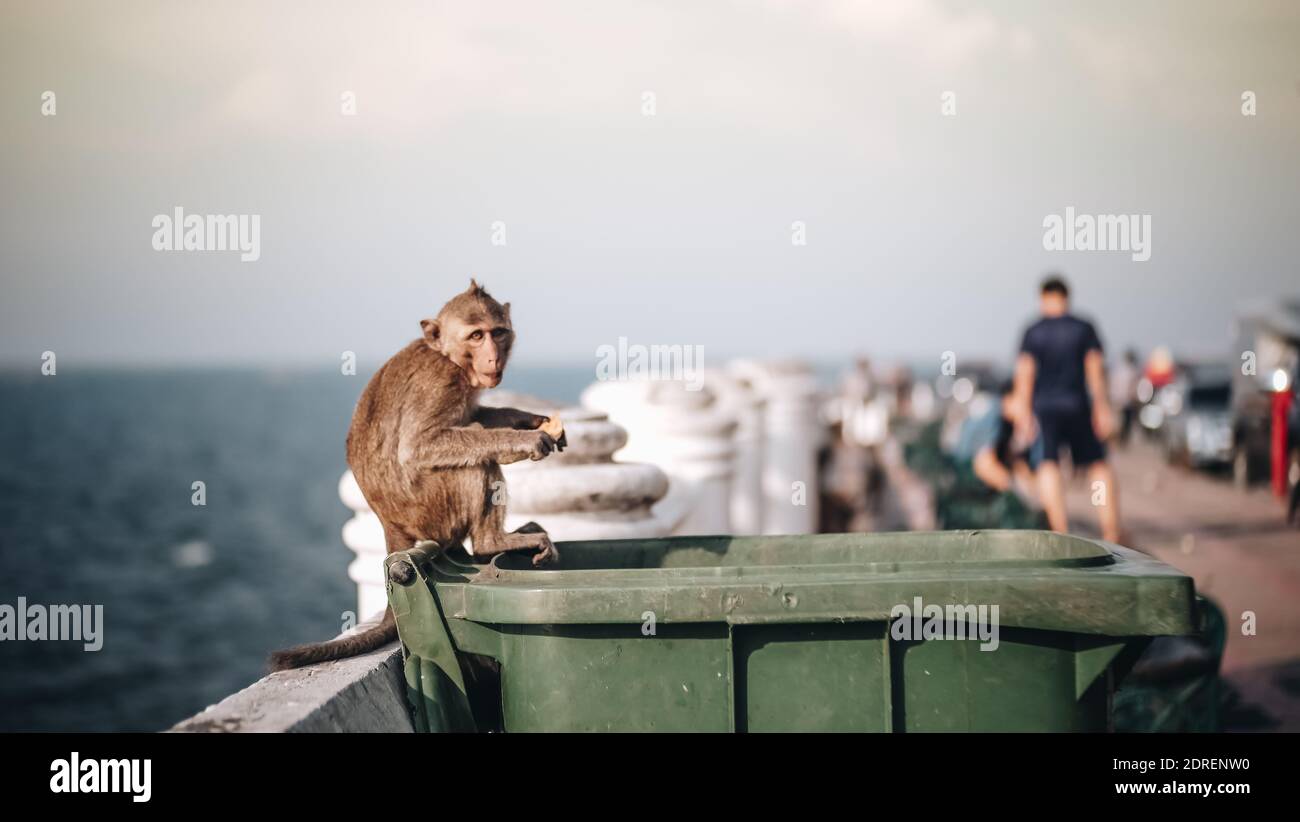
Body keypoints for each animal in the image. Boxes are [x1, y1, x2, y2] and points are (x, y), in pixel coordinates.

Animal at [266, 279, 561, 671]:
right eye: (476, 335)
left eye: (497, 332)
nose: (493, 358)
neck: (448, 357)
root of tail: (390, 523)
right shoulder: (441, 382)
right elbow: (421, 445)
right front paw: (528, 439)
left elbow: (474, 415)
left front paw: (527, 419)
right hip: (431, 506)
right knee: (475, 463)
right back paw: (492, 542)